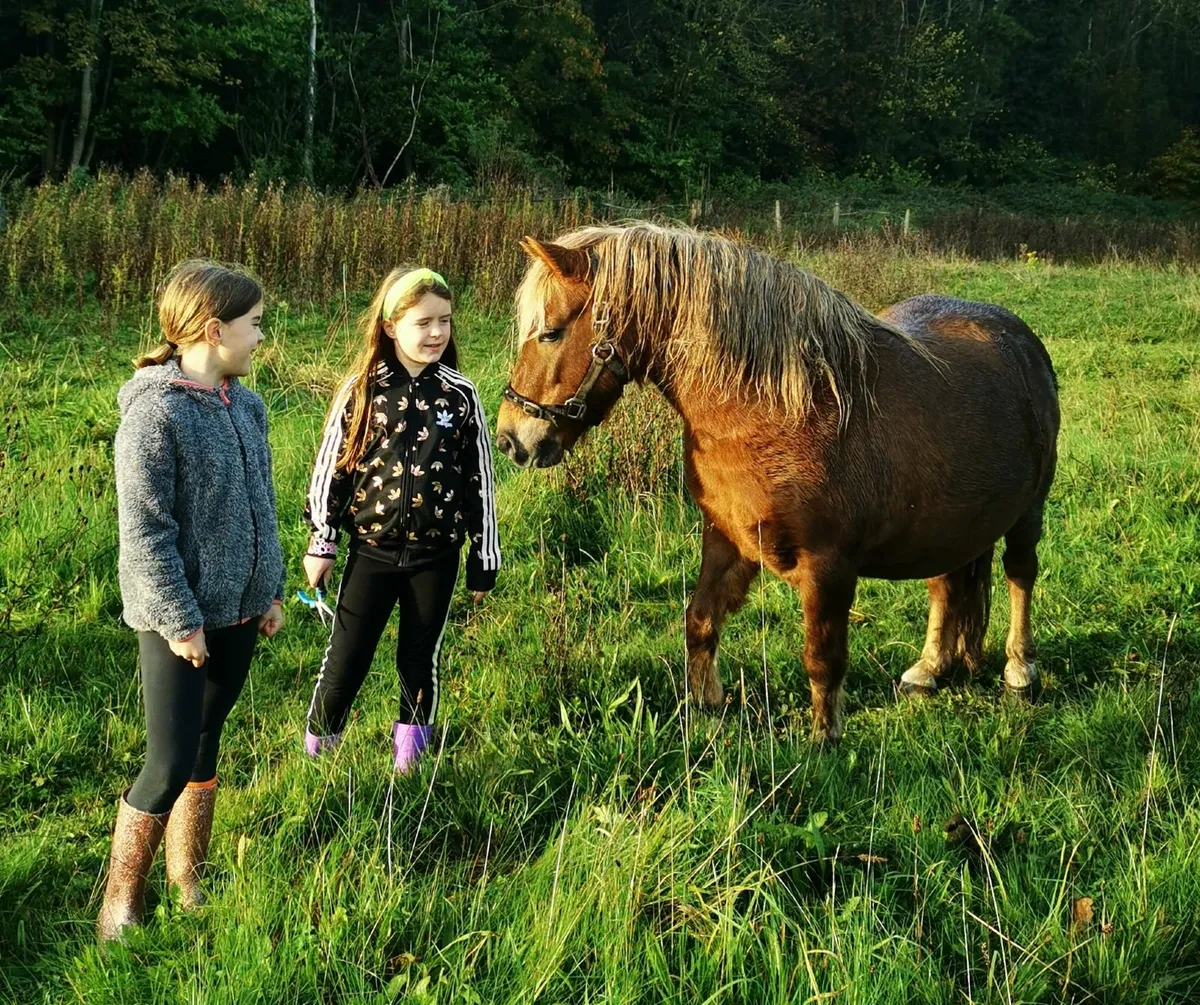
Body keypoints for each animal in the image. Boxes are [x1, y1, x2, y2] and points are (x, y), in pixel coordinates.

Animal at [495, 223, 1059, 743]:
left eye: (550, 332)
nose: (509, 438)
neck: (779, 408)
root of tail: (1018, 338)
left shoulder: (829, 567)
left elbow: (822, 658)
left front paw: (823, 743)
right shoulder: (726, 539)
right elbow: (699, 622)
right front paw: (706, 708)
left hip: (1028, 512)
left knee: (1020, 575)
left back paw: (1019, 669)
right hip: (949, 527)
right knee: (946, 585)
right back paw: (928, 669)